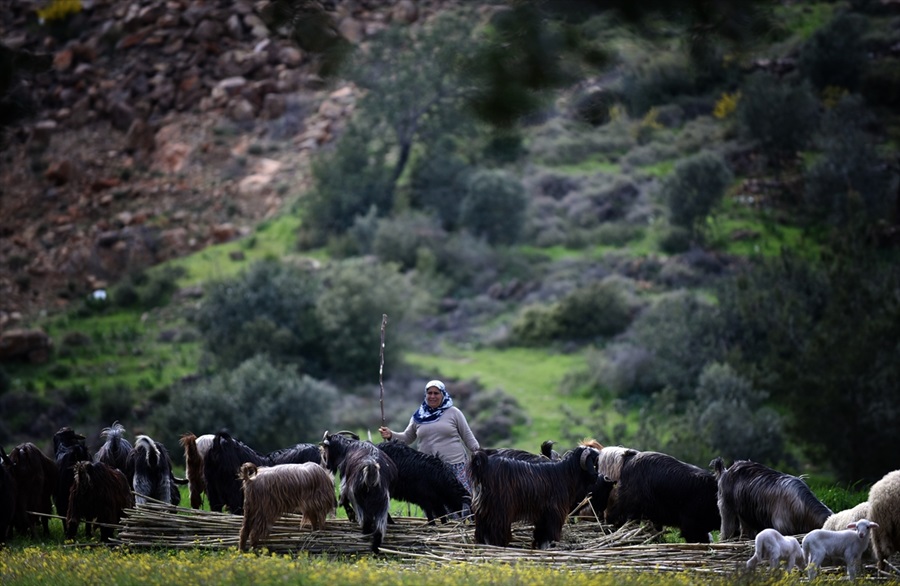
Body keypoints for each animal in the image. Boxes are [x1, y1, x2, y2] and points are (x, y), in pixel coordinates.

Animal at [468, 442, 600, 548]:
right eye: (594, 461)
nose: (597, 477)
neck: (565, 473)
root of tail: (483, 467)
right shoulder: (554, 513)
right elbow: (549, 533)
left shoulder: (542, 515)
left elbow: (540, 534)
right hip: (499, 510)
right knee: (496, 531)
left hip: (482, 511)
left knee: (482, 532)